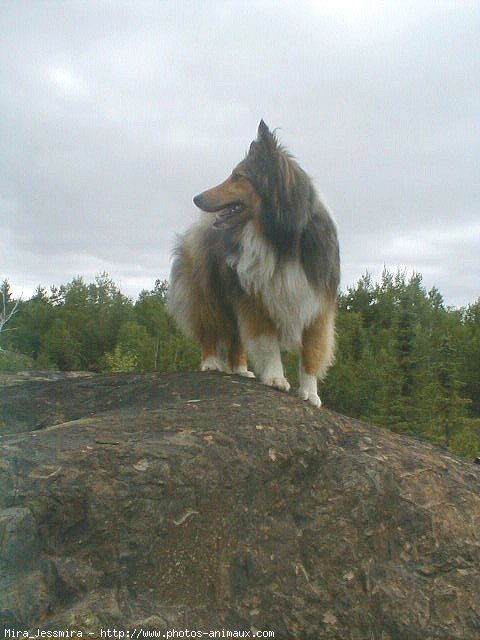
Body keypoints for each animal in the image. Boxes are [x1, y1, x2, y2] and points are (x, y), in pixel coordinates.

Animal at [167, 122, 340, 408]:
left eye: (239, 176)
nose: (196, 198)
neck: (280, 240)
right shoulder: (256, 298)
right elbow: (267, 344)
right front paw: (276, 379)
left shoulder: (316, 303)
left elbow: (312, 352)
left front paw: (310, 394)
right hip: (208, 295)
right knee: (210, 330)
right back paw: (211, 363)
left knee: (236, 338)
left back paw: (240, 370)